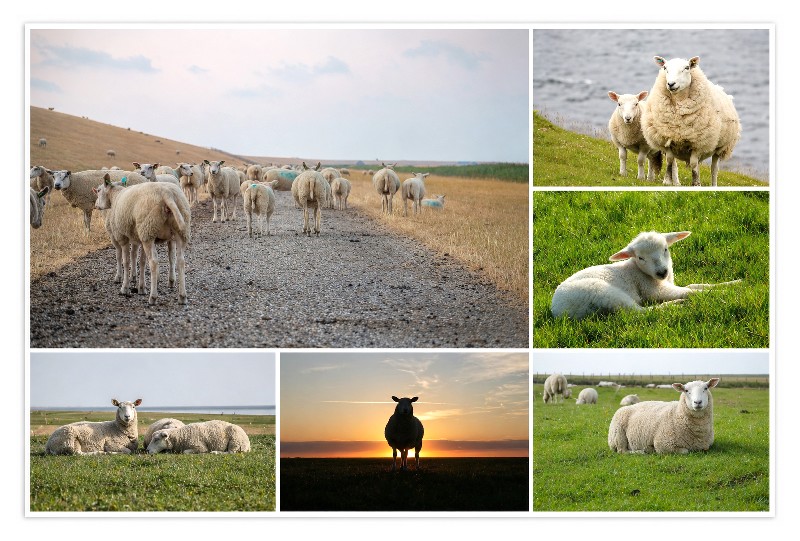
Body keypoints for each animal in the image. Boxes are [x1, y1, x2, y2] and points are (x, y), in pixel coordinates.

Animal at [550, 231, 741, 319]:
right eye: (640, 257)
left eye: (665, 249)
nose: (662, 272)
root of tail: (556, 309)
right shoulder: (653, 290)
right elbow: (689, 291)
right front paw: (722, 294)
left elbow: (695, 286)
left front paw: (735, 283)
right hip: (603, 293)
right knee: (640, 312)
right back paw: (675, 305)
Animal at [641, 56, 741, 187]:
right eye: (665, 68)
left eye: (687, 68)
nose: (671, 84)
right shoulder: (667, 138)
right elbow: (669, 160)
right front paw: (667, 181)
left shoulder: (697, 143)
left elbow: (694, 164)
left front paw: (696, 183)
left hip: (720, 147)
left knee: (714, 168)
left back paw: (713, 184)